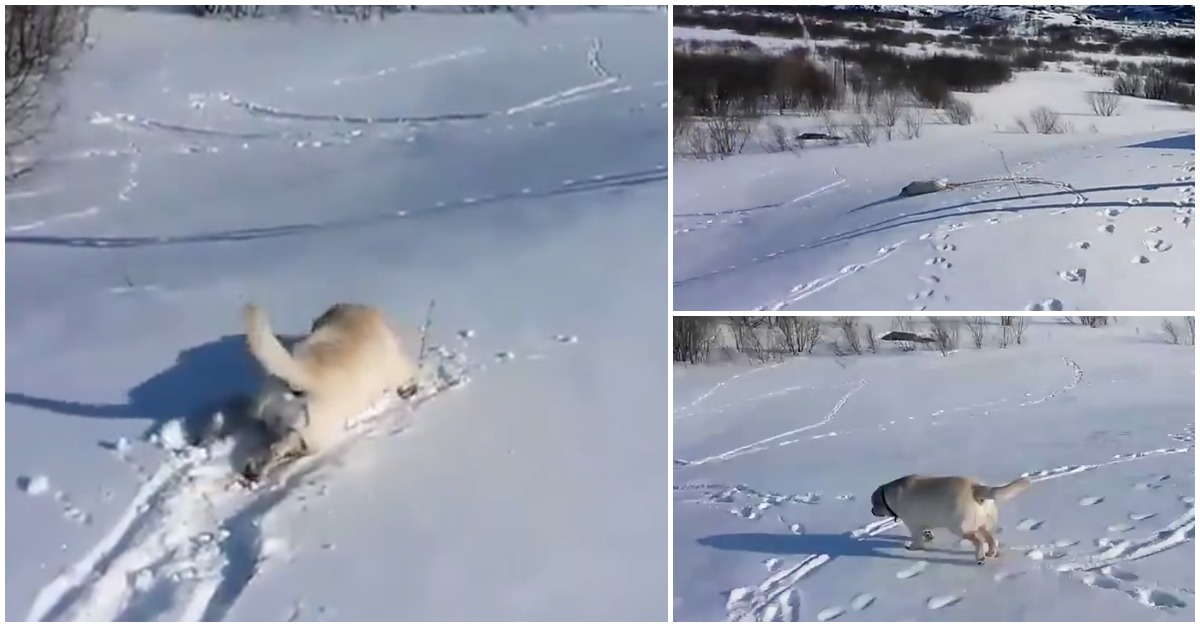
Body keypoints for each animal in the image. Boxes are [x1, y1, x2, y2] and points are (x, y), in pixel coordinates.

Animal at [873, 473, 1032, 562]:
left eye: (873, 503)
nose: (872, 510)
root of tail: (975, 488)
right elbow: (926, 532)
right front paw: (928, 537)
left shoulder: (912, 523)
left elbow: (916, 538)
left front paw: (912, 548)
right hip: (986, 524)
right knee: (992, 539)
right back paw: (990, 553)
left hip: (960, 527)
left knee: (978, 541)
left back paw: (980, 558)